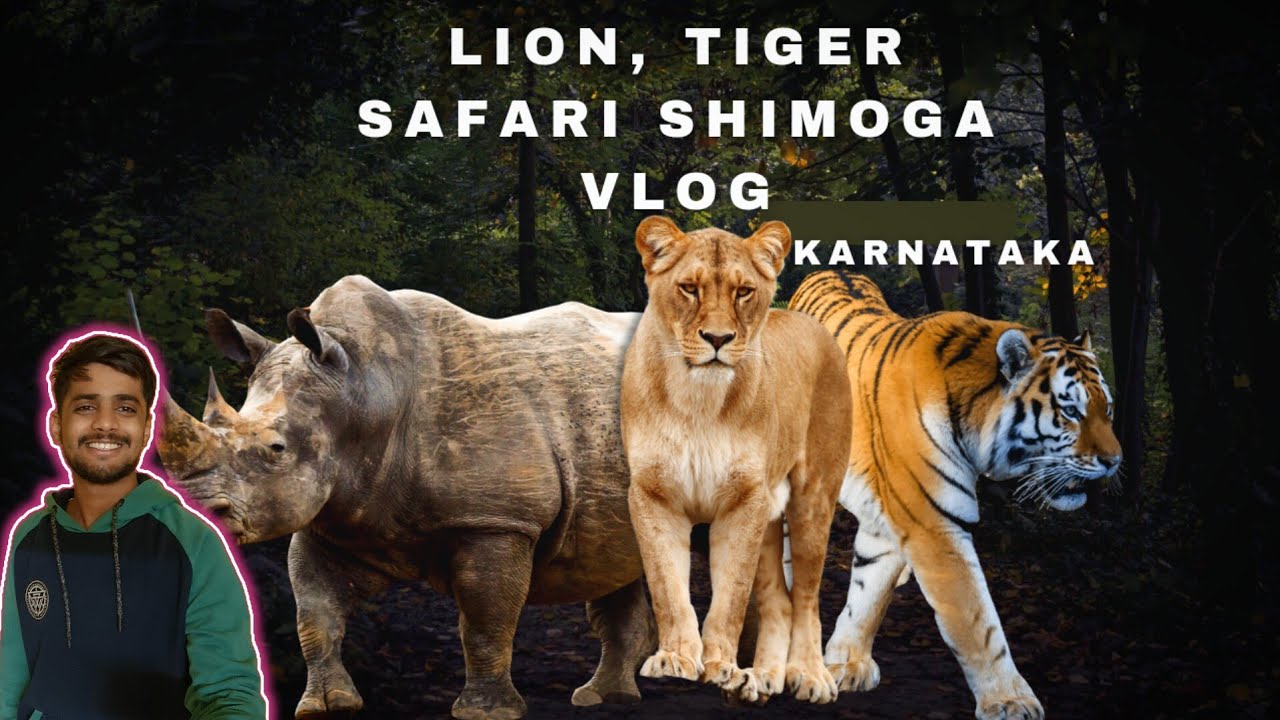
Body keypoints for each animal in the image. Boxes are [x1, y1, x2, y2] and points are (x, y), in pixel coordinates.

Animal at [620, 216, 852, 704]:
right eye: (689, 288)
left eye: (744, 291)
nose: (718, 339)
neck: (697, 400)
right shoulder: (653, 495)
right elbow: (668, 588)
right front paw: (675, 660)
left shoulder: (743, 501)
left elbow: (730, 597)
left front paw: (720, 667)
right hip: (768, 515)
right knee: (779, 602)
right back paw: (762, 679)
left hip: (812, 502)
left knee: (806, 597)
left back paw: (809, 676)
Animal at [787, 270, 1121, 720]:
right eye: (1071, 411)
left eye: (1109, 409)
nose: (1115, 461)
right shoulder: (934, 524)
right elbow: (977, 619)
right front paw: (1010, 701)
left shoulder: (891, 521)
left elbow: (869, 593)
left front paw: (847, 664)